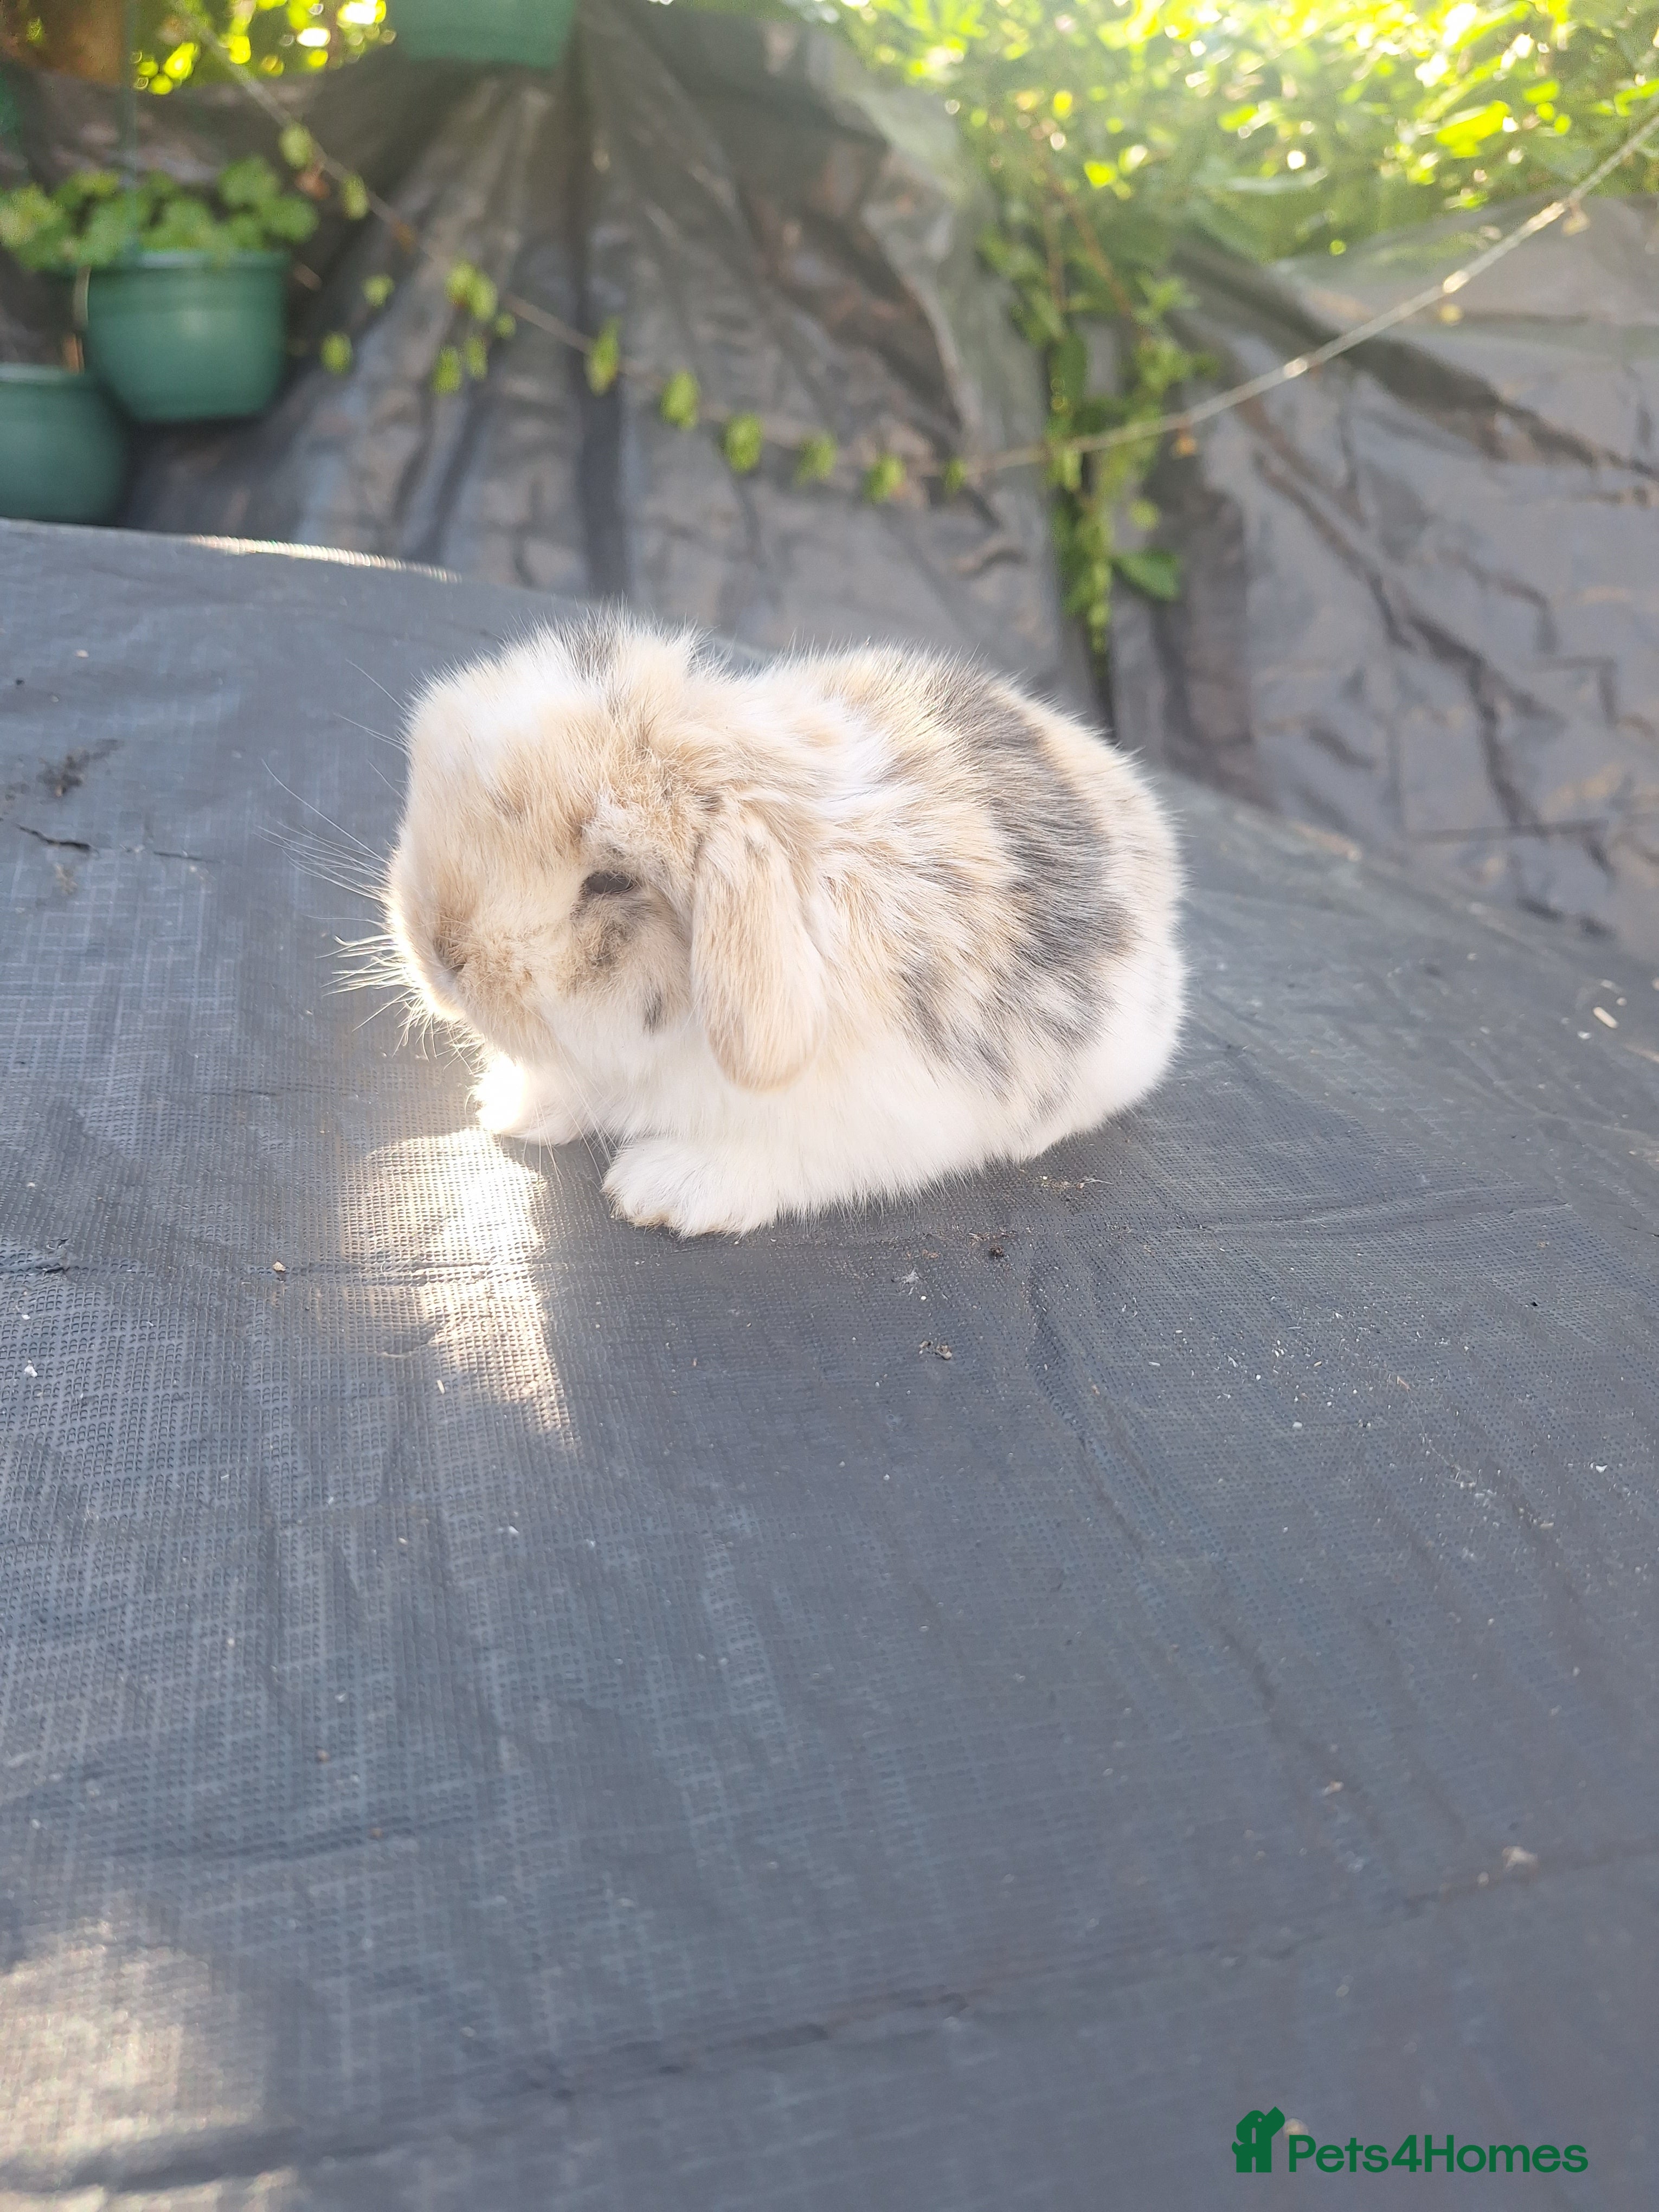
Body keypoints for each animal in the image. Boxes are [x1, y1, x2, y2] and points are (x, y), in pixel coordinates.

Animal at [384, 612, 1184, 1237]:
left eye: (611, 882)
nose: (440, 952)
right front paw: (507, 1103)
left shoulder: (867, 1121)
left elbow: (773, 1159)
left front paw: (660, 1189)